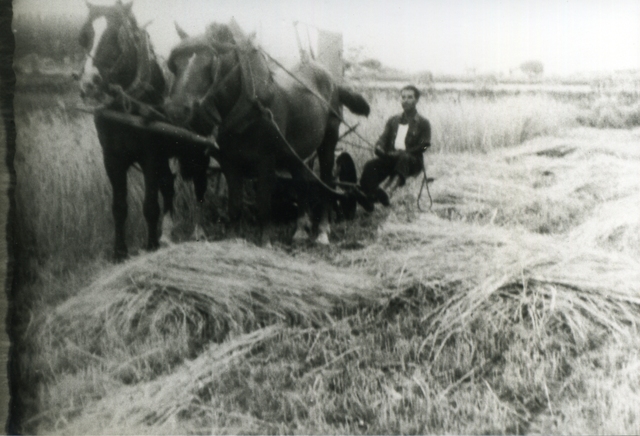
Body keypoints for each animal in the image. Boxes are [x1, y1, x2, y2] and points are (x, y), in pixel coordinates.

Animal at [76, 0, 209, 258]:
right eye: (85, 35)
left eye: (118, 37)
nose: (88, 83)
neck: (127, 107)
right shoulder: (112, 158)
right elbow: (119, 206)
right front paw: (120, 251)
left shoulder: (150, 156)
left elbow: (149, 205)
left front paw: (150, 245)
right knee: (169, 185)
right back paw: (166, 234)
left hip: (199, 149)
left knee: (199, 185)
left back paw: (198, 231)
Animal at [164, 19, 370, 245]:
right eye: (174, 64)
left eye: (212, 64)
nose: (175, 110)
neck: (249, 108)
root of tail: (333, 80)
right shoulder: (230, 162)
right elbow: (234, 206)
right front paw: (233, 239)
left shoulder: (266, 161)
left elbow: (264, 203)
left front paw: (265, 241)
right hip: (296, 151)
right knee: (301, 181)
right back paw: (300, 228)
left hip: (329, 139)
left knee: (326, 180)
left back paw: (323, 231)